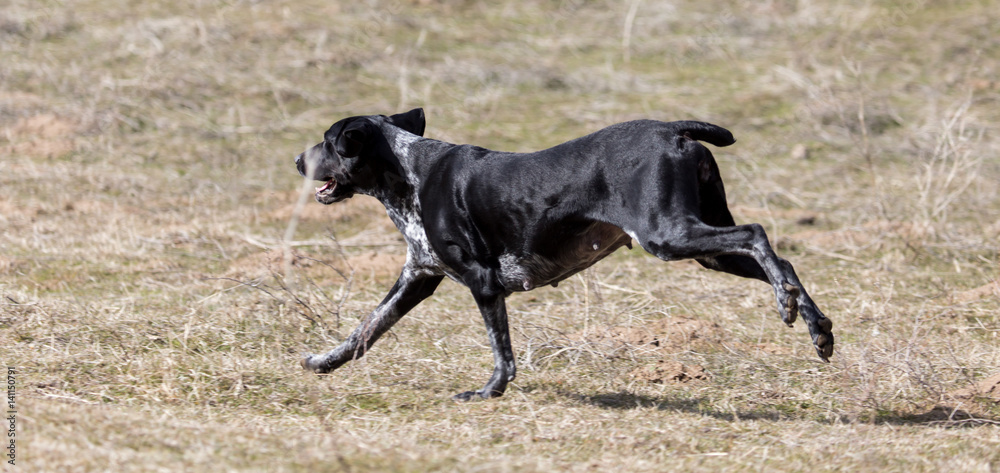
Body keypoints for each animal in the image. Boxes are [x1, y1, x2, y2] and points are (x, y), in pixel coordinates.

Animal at [294, 107, 836, 398]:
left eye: (328, 143)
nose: (298, 159)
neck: (409, 172)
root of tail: (672, 129)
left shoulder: (482, 282)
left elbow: (502, 354)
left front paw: (489, 392)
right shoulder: (418, 277)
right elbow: (366, 328)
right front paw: (324, 362)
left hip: (667, 235)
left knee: (757, 233)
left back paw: (787, 305)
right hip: (703, 246)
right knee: (782, 261)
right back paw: (817, 327)